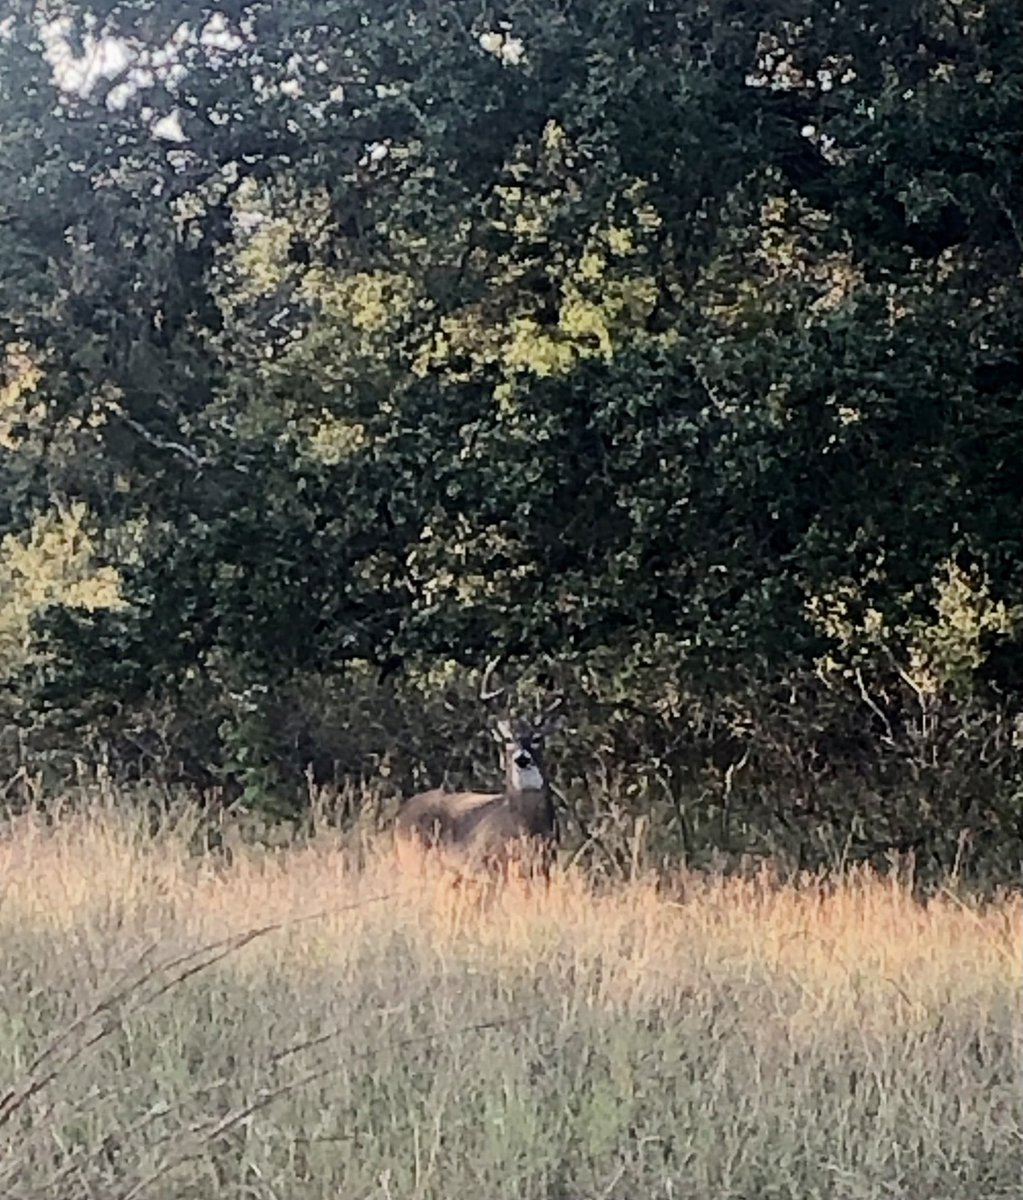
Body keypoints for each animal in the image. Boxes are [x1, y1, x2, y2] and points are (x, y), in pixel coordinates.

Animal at [393, 663, 565, 881]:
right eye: (508, 739)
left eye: (537, 738)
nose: (522, 758)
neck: (526, 826)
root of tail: (400, 812)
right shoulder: (485, 864)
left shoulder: (546, 865)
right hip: (414, 859)